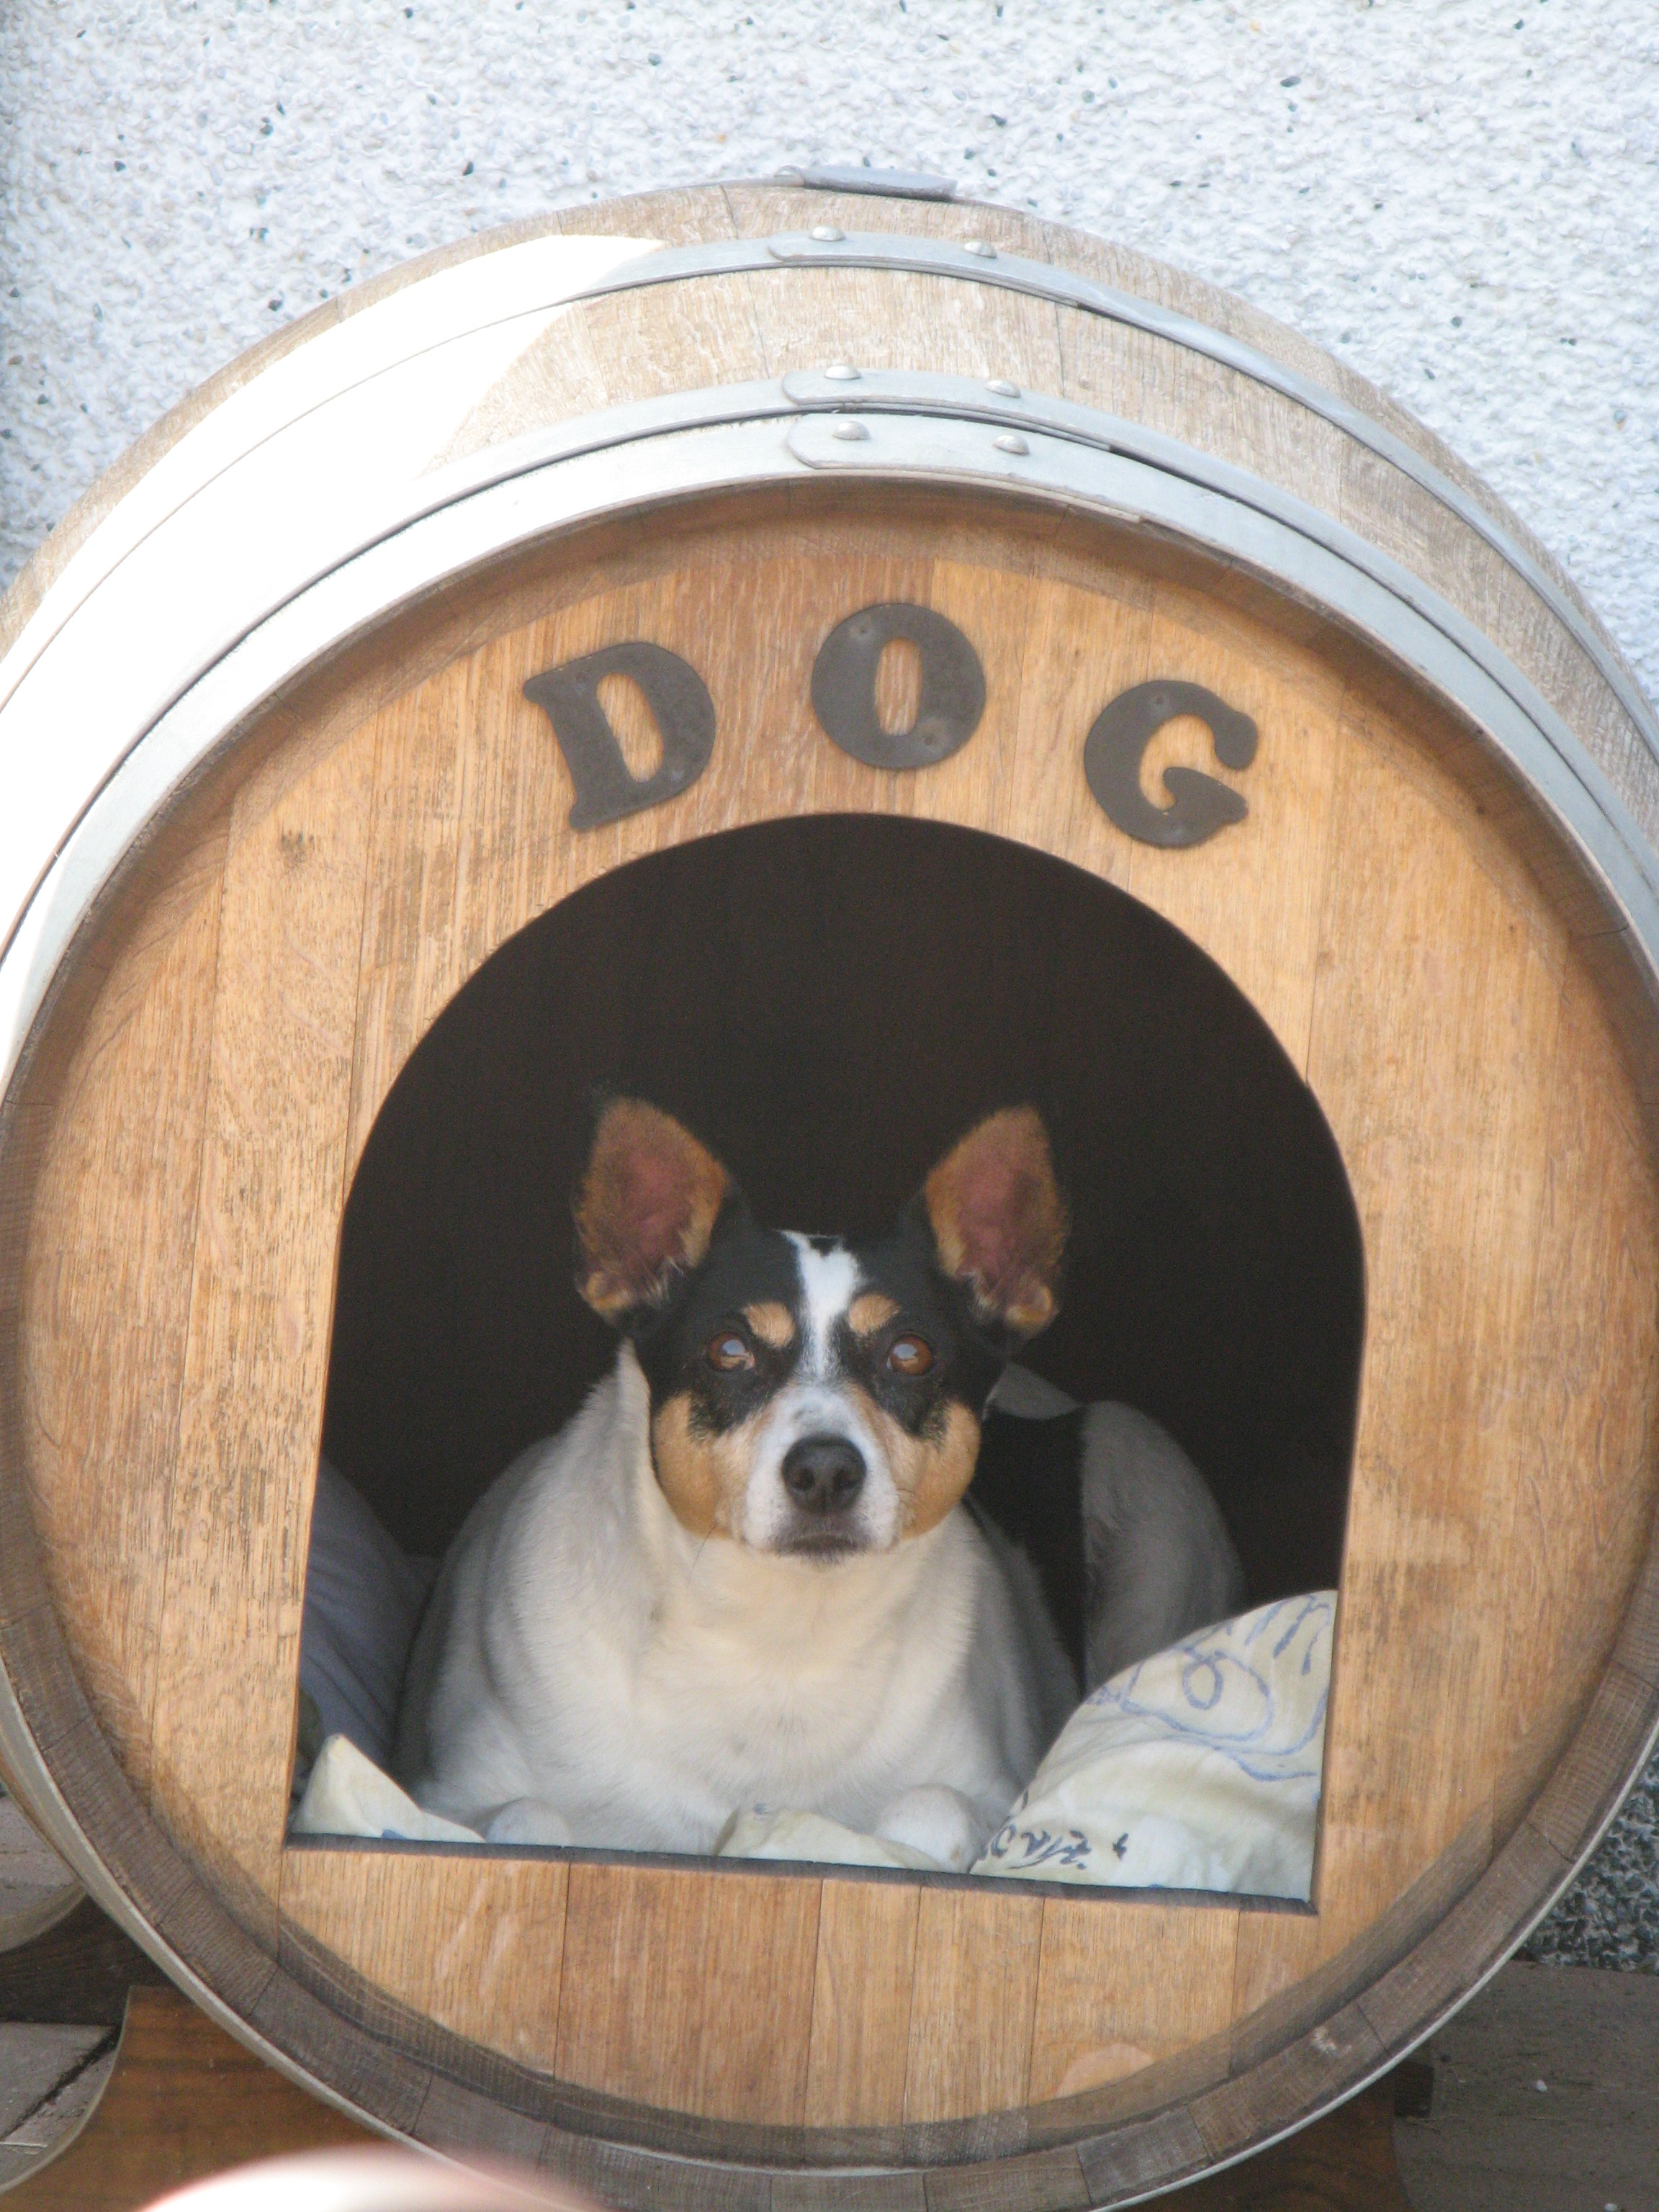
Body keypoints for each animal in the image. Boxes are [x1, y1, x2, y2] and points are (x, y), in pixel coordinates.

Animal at [394, 1098, 1243, 1870]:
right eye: (729, 1350)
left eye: (909, 1354)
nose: (826, 1471)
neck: (779, 1640)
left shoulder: (993, 1789)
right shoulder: (450, 1791)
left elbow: (927, 1811)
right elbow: (526, 1819)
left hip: (1149, 1491)